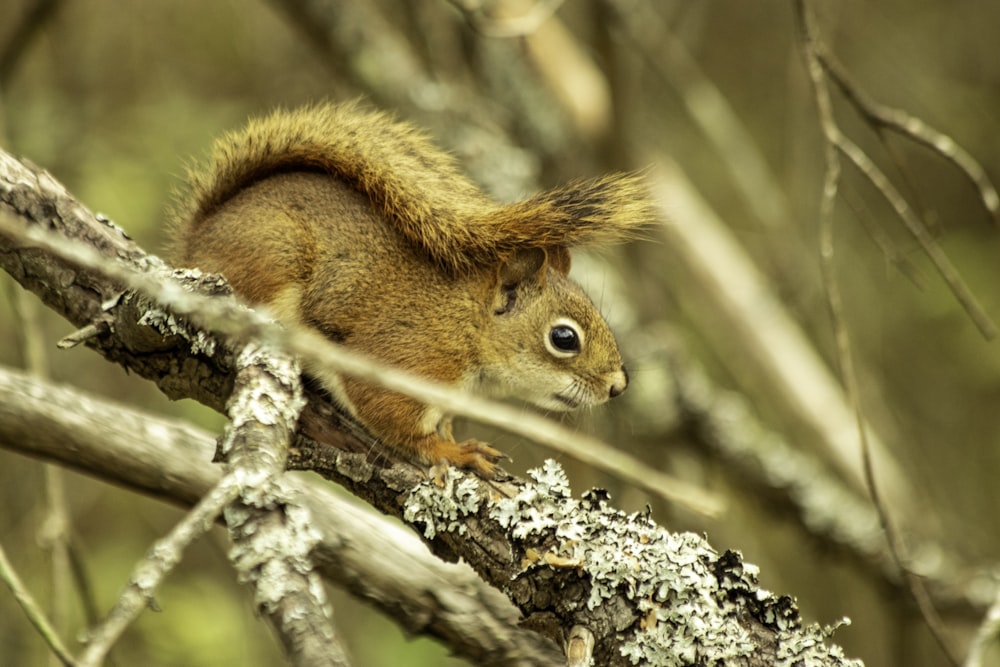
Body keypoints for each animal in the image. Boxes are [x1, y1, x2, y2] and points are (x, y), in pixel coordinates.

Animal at [170, 102, 656, 478]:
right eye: (564, 338)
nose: (618, 386)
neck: (465, 326)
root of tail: (197, 239)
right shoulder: (402, 362)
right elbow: (395, 421)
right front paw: (453, 452)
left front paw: (458, 440)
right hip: (274, 256)